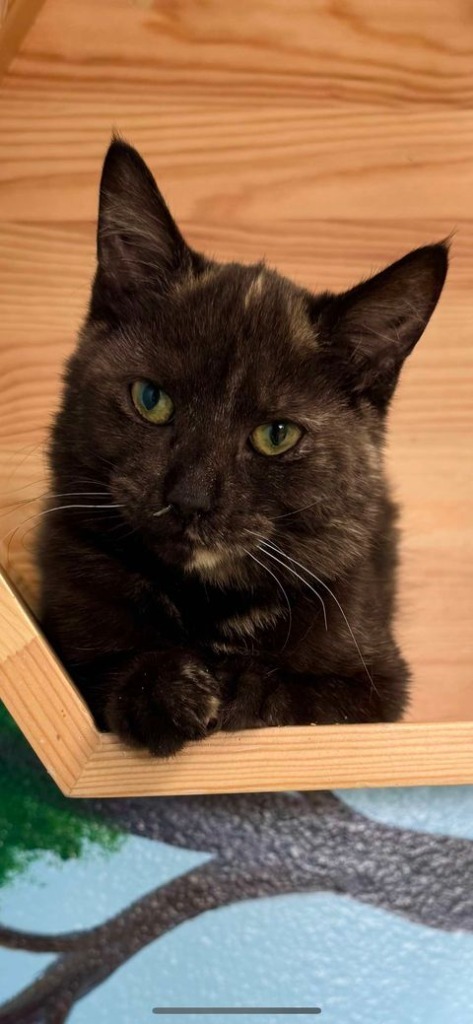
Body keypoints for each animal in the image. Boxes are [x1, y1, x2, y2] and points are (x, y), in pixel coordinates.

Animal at [36, 138, 446, 753]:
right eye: (151, 398)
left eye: (276, 435)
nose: (189, 499)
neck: (205, 603)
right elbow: (104, 664)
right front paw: (163, 689)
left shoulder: (376, 687)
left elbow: (299, 699)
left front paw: (233, 687)